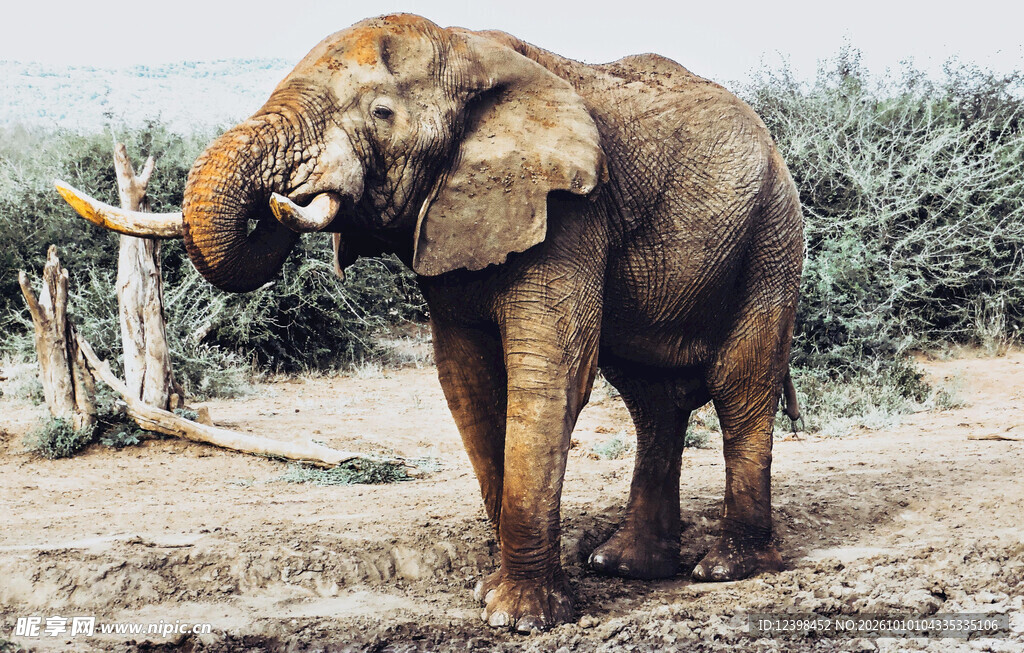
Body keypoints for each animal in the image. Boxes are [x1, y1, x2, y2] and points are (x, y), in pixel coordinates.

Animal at [59, 13, 804, 633]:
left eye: (381, 112)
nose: (282, 196)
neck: (465, 45)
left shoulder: (568, 213)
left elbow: (551, 374)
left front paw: (520, 619)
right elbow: (466, 379)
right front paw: (493, 594)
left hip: (773, 234)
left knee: (738, 386)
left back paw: (725, 568)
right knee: (652, 399)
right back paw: (623, 565)